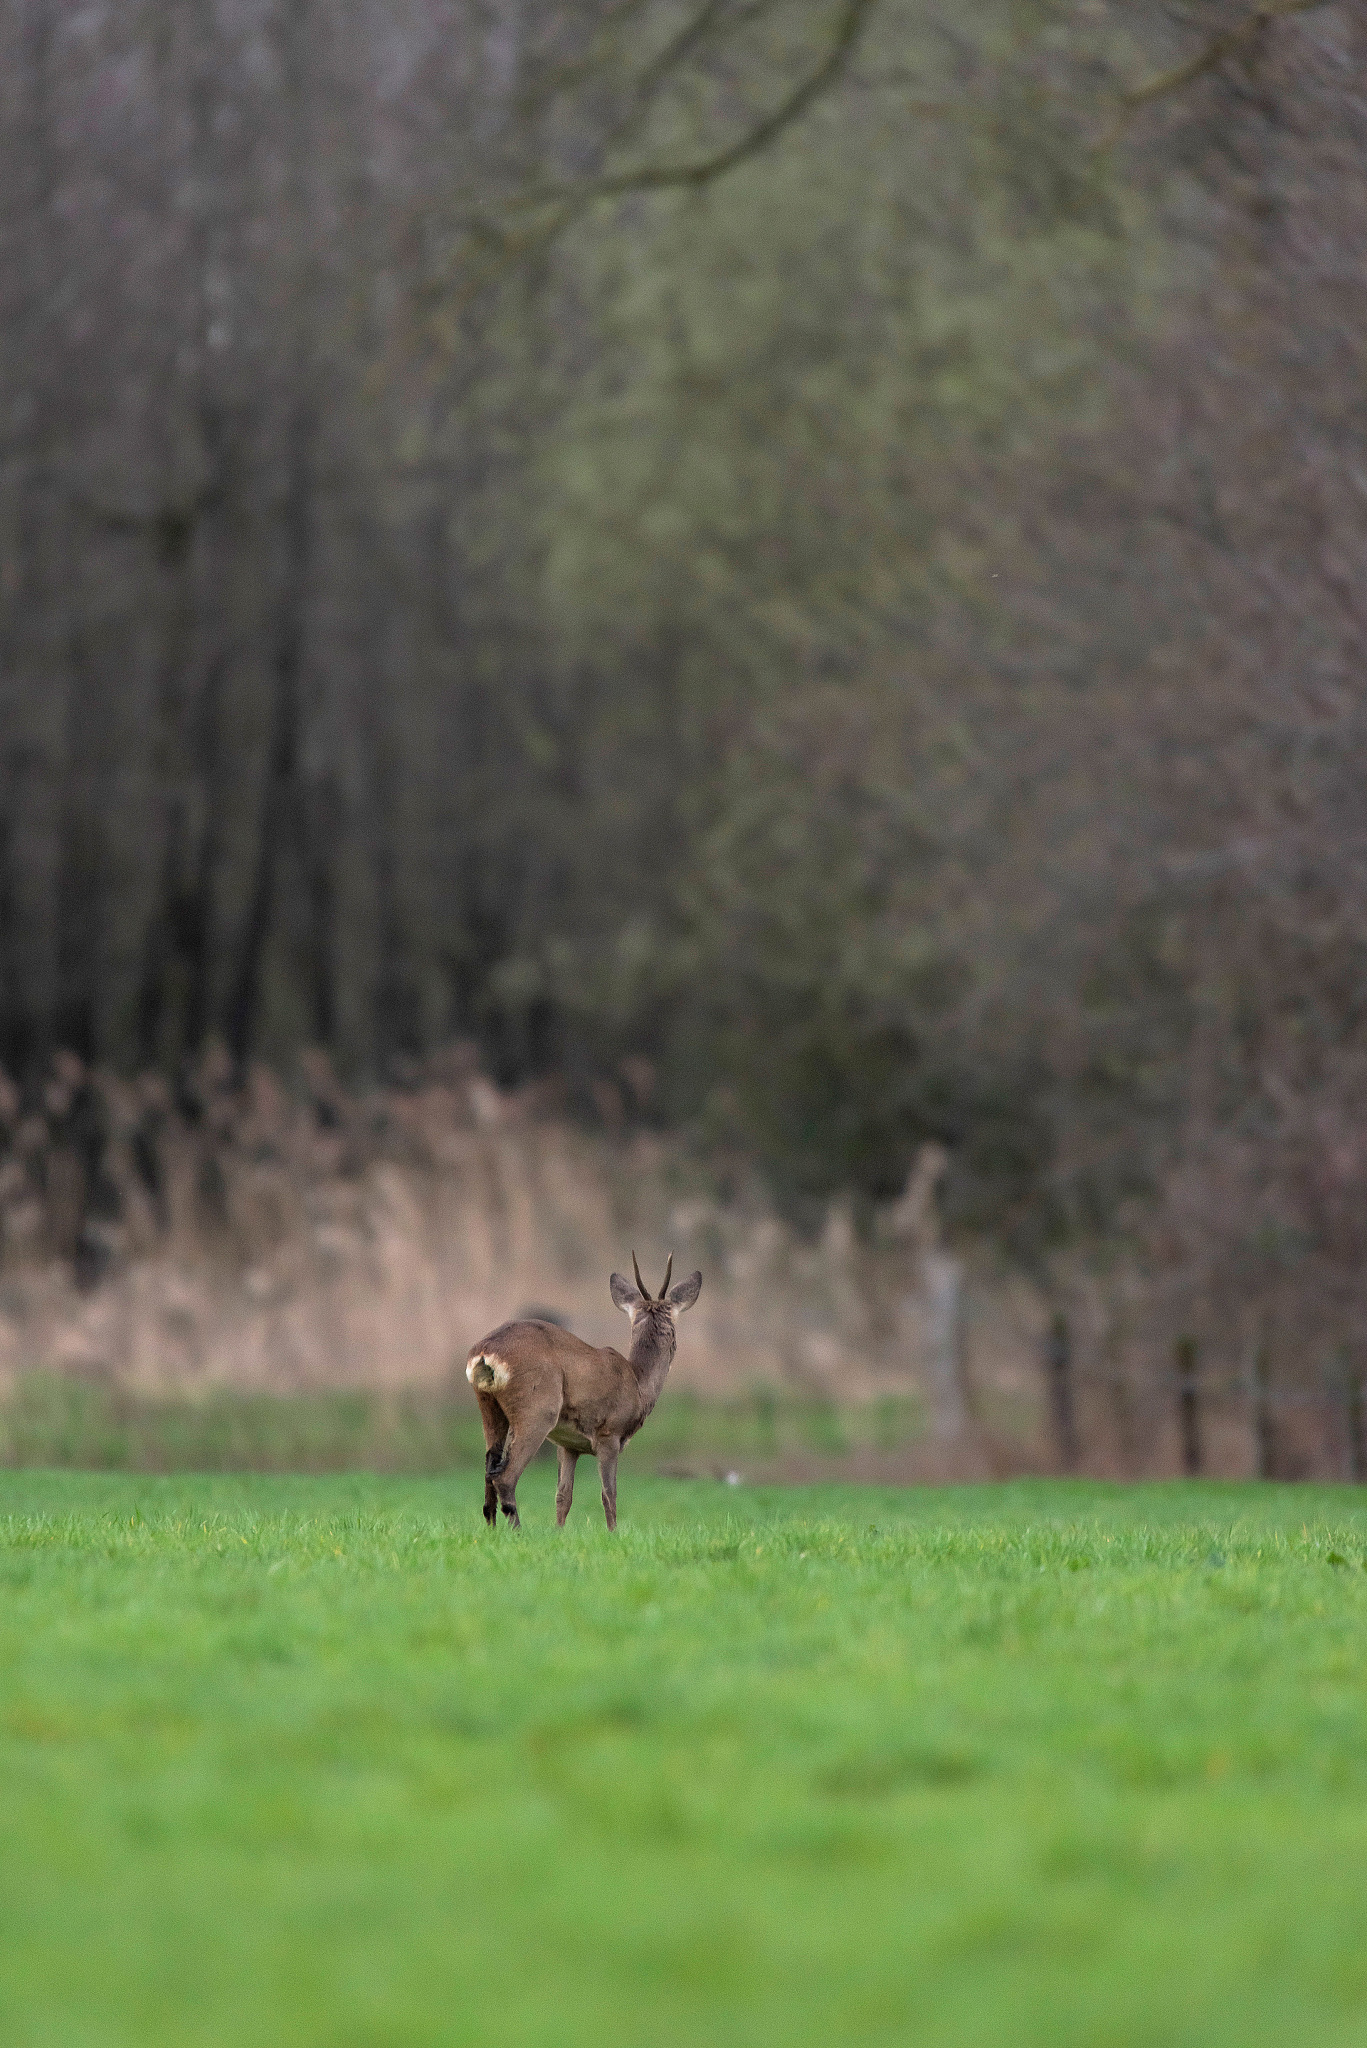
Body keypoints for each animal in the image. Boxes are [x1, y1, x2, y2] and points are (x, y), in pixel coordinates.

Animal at [471, 1253, 705, 1531]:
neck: (638, 1385)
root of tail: (485, 1351)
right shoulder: (609, 1433)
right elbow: (609, 1494)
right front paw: (613, 1533)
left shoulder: (568, 1444)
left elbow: (563, 1496)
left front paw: (559, 1533)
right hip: (537, 1409)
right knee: (504, 1476)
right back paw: (517, 1531)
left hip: (489, 1406)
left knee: (489, 1471)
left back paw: (492, 1531)